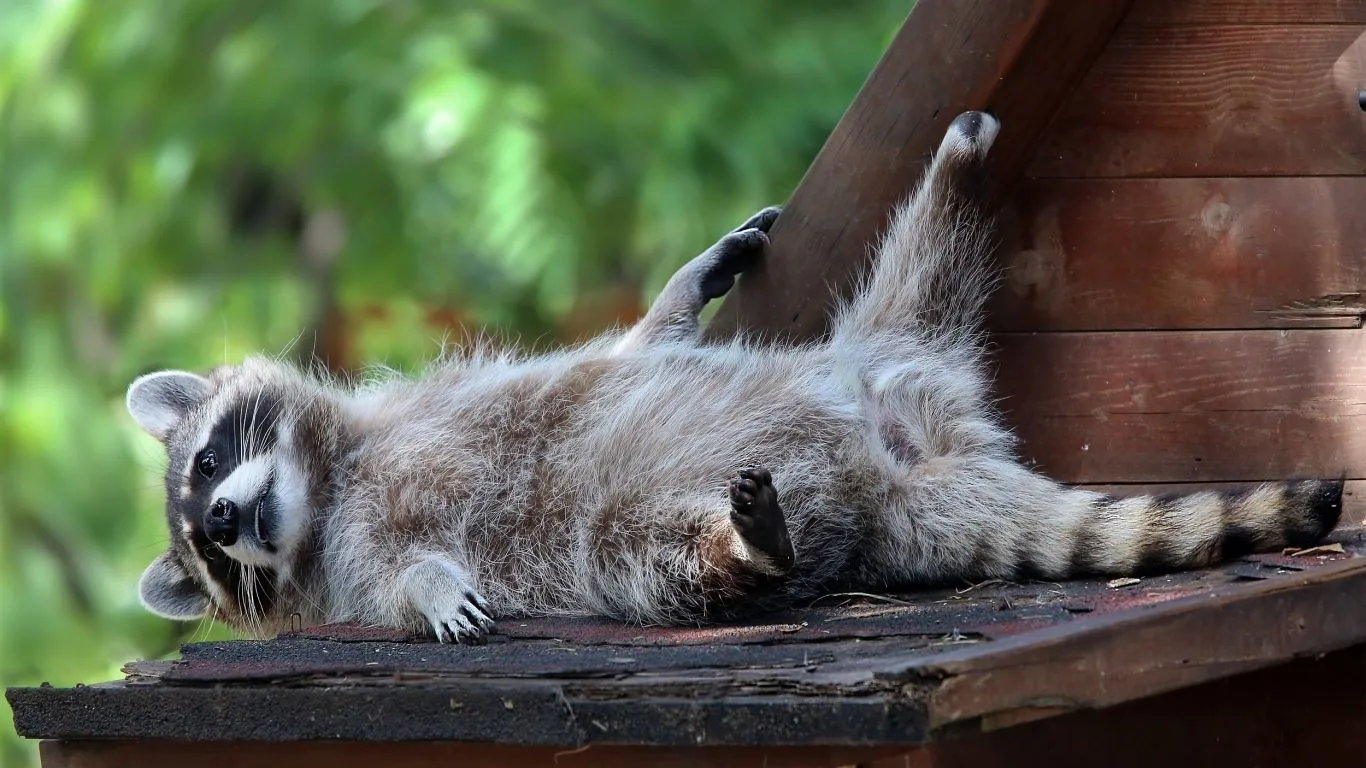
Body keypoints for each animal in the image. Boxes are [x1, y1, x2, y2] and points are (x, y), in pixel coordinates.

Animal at [128, 112, 1343, 644]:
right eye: (212, 554)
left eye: (210, 462)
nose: (226, 520)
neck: (332, 483)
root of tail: (905, 473)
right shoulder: (349, 562)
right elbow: (391, 583)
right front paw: (430, 591)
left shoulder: (441, 401)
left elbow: (624, 352)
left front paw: (679, 291)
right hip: (669, 526)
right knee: (659, 558)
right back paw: (744, 549)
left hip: (891, 351)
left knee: (926, 265)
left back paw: (955, 172)